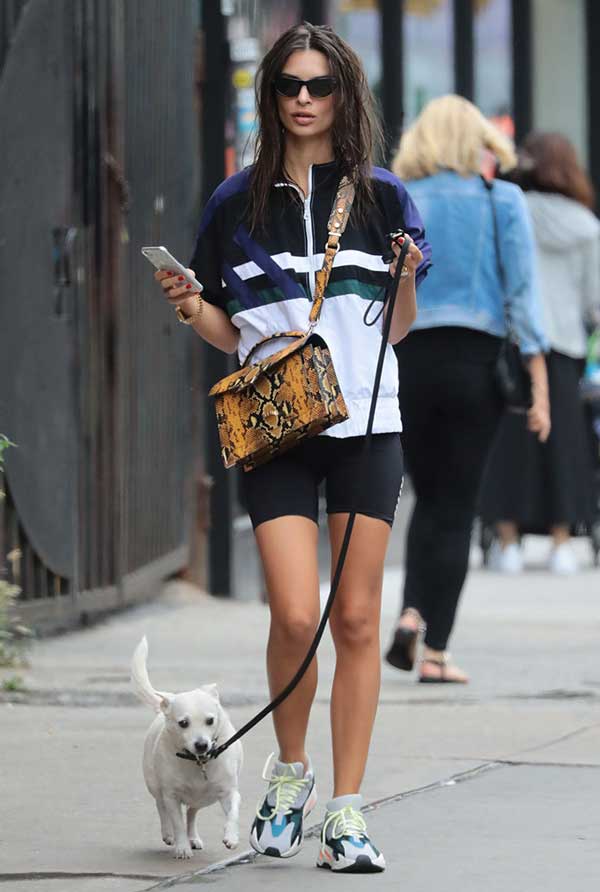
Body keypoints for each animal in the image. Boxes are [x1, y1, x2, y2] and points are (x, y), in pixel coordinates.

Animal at [131, 636, 244, 856]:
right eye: (183, 723)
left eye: (210, 720)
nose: (201, 744)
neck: (198, 761)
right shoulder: (171, 796)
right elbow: (177, 822)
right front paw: (182, 847)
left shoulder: (229, 791)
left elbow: (233, 812)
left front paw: (231, 837)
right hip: (155, 786)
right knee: (161, 807)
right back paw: (169, 834)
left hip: (203, 799)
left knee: (192, 812)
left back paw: (194, 837)